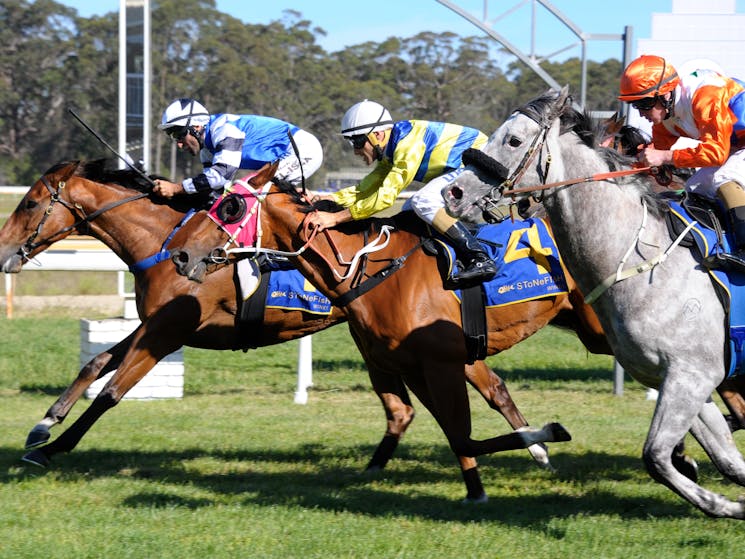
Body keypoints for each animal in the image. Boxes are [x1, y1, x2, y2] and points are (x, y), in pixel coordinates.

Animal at [1, 159, 552, 504]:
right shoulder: (153, 325)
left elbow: (111, 391)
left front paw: (52, 447)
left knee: (457, 398)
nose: (4, 252)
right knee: (474, 392)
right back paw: (533, 447)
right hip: (391, 345)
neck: (163, 242)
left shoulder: (168, 330)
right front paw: (43, 425)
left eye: (28, 204)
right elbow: (96, 362)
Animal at [166, 163, 612, 498]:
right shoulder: (415, 367)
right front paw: (482, 485)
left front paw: (547, 436)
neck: (368, 270)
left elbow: (463, 435)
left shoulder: (441, 364)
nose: (179, 253)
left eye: (230, 207)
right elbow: (455, 434)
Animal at [442, 87, 745, 520]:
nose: (453, 193)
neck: (643, 260)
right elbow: (726, 460)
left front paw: (723, 503)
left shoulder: (693, 375)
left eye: (513, 140)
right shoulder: (677, 379)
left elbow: (656, 457)